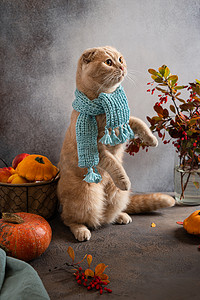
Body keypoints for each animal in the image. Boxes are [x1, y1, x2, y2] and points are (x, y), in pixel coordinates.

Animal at [56, 46, 175, 241]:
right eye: (108, 62)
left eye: (120, 59)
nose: (122, 67)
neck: (104, 104)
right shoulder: (96, 149)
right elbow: (113, 163)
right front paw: (124, 179)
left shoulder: (124, 123)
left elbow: (139, 123)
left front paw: (151, 139)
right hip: (85, 197)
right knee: (70, 219)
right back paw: (81, 230)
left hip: (117, 196)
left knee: (106, 216)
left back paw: (120, 216)